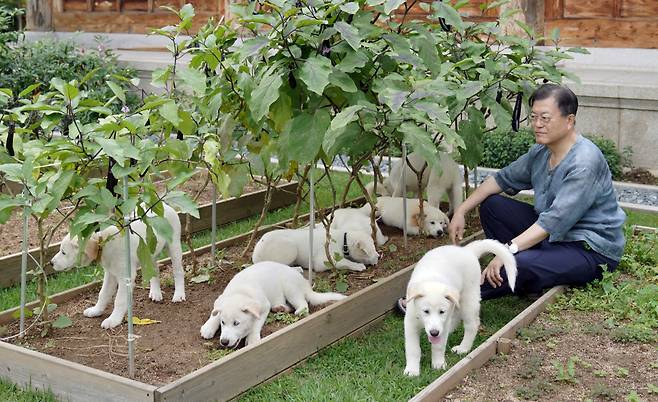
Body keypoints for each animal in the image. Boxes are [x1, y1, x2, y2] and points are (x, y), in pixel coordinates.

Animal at [50, 203, 184, 328]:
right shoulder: (110, 274)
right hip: (148, 253)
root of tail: (164, 205)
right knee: (155, 270)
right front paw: (96, 310)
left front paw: (113, 320)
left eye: (63, 252)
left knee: (178, 272)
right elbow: (103, 294)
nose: (51, 263)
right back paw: (156, 293)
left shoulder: (125, 278)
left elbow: (119, 300)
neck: (104, 242)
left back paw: (179, 295)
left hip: (174, 246)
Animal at [199, 262, 344, 348]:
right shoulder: (222, 299)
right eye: (223, 323)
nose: (224, 342)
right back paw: (280, 308)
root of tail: (304, 283)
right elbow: (215, 313)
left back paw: (299, 311)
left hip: (290, 288)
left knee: (302, 303)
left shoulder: (264, 307)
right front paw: (208, 326)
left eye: (236, 323)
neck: (241, 291)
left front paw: (252, 339)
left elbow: (256, 324)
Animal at [402, 239, 516, 376]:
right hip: (456, 301)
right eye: (426, 311)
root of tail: (467, 250)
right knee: (455, 318)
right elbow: (412, 349)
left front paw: (438, 364)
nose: (434, 333)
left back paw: (463, 348)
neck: (432, 280)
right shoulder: (410, 323)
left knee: (472, 324)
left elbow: (438, 346)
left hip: (468, 299)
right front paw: (412, 370)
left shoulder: (443, 322)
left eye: (441, 312)